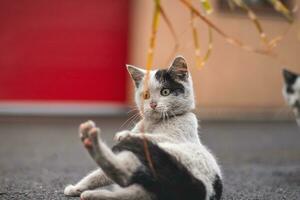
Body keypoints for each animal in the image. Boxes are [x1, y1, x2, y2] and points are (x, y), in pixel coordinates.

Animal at [63, 55, 223, 200]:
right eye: (146, 95)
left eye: (165, 92)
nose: (152, 104)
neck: (155, 123)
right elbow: (97, 175)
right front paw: (76, 188)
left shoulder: (177, 138)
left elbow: (153, 136)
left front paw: (124, 134)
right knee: (125, 188)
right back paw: (91, 193)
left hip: (162, 154)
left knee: (126, 173)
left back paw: (92, 138)